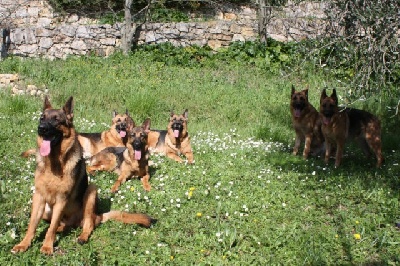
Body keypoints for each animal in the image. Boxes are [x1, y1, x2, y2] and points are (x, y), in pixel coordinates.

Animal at [11, 96, 153, 255]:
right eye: (42, 118)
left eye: (56, 120)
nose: (41, 128)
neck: (53, 163)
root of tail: (98, 215)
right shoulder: (39, 197)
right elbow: (32, 225)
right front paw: (24, 244)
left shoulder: (61, 199)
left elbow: (52, 227)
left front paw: (47, 246)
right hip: (48, 210)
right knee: (63, 225)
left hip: (91, 191)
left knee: (87, 224)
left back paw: (81, 236)